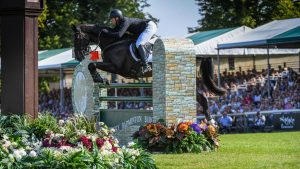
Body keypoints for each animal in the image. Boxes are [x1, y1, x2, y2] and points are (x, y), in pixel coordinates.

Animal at [72, 23, 225, 124]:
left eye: (78, 37)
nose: (79, 56)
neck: (113, 42)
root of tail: (195, 55)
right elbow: (92, 65)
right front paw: (102, 79)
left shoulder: (116, 67)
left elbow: (92, 64)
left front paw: (98, 78)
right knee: (201, 97)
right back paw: (210, 122)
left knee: (202, 97)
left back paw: (210, 122)